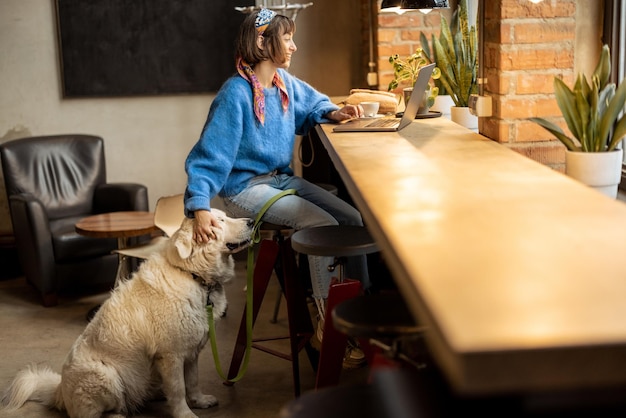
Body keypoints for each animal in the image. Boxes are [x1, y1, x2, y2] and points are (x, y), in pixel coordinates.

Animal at [1, 209, 254, 418]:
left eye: (225, 217)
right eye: (219, 221)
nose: (252, 221)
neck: (192, 274)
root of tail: (60, 390)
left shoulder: (191, 352)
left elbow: (192, 381)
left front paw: (199, 401)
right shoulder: (171, 355)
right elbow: (178, 388)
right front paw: (185, 414)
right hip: (106, 375)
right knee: (94, 413)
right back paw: (118, 414)